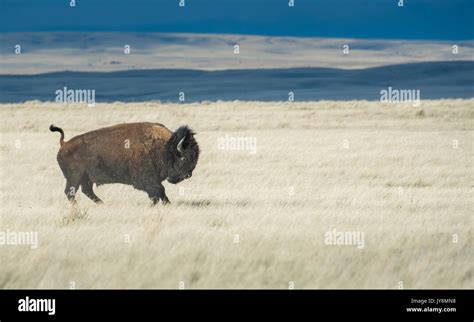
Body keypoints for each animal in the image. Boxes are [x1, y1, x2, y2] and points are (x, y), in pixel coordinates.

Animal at [50, 122, 200, 205]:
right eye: (184, 158)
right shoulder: (148, 181)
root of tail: (64, 144)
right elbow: (159, 191)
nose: (187, 175)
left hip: (85, 178)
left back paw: (103, 204)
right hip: (74, 177)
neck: (164, 148)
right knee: (70, 192)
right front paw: (167, 204)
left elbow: (156, 195)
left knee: (86, 191)